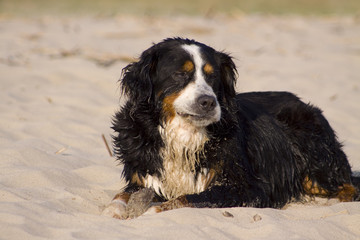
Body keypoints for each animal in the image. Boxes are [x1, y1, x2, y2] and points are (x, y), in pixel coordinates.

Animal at [102, 37, 358, 219]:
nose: (208, 102)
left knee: (349, 186)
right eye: (180, 74)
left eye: (212, 76)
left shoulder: (247, 188)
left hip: (313, 153)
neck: (185, 135)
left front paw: (154, 210)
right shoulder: (143, 176)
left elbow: (189, 198)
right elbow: (122, 194)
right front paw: (113, 209)